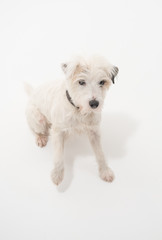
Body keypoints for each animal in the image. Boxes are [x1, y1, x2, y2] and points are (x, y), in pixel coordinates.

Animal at [25, 55, 119, 185]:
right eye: (81, 82)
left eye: (102, 82)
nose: (94, 104)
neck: (78, 110)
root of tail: (32, 92)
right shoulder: (58, 131)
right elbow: (58, 156)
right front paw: (57, 174)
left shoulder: (94, 132)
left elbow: (100, 154)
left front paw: (105, 171)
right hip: (37, 118)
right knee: (35, 130)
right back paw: (40, 138)